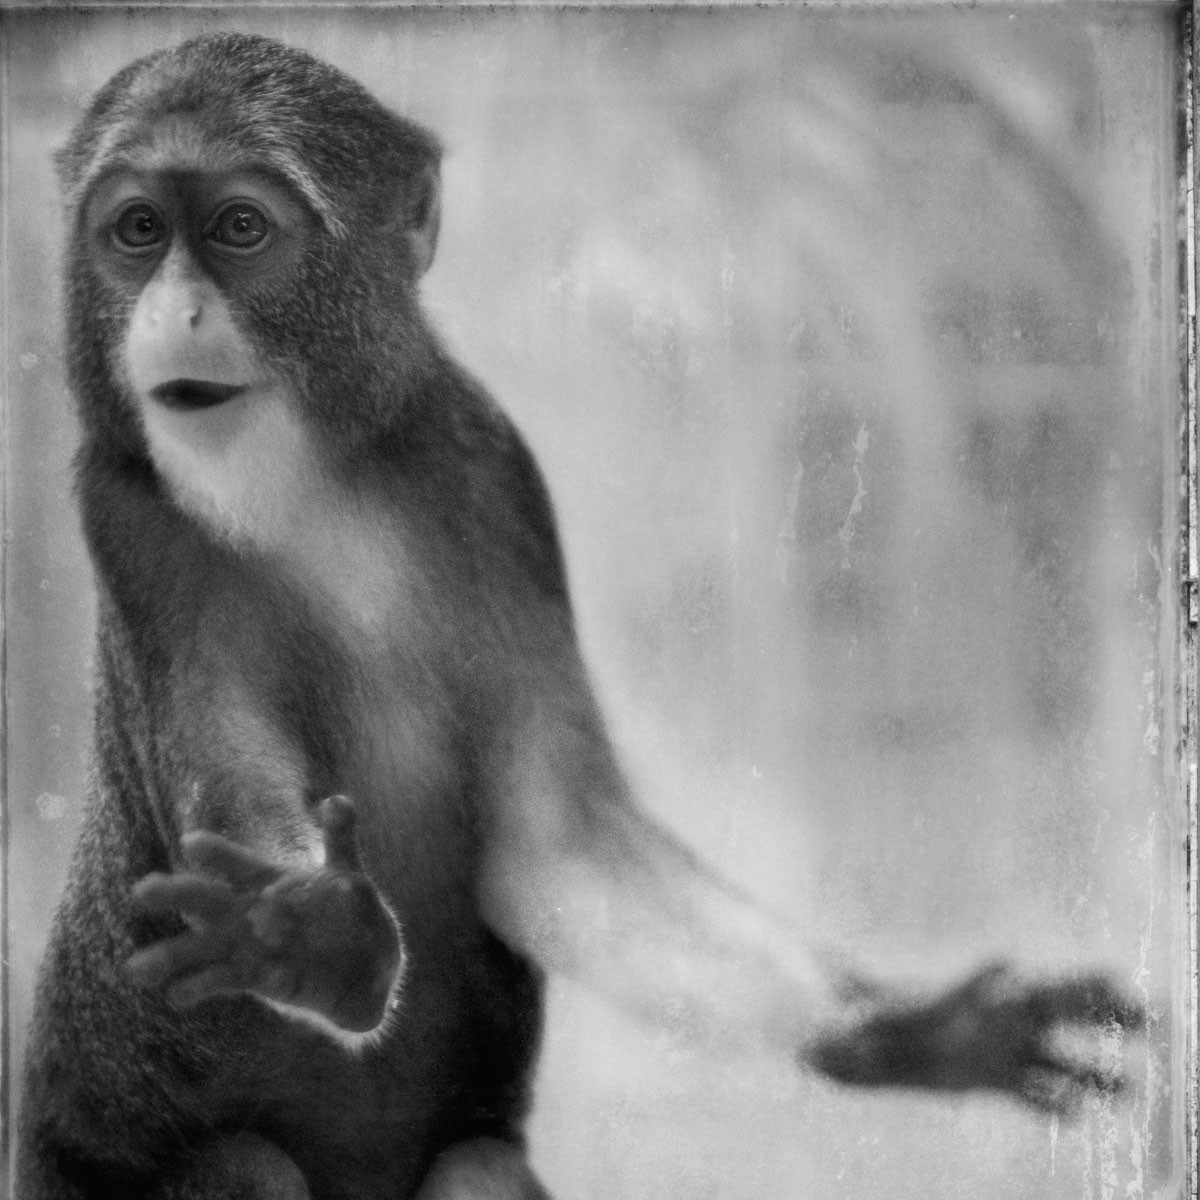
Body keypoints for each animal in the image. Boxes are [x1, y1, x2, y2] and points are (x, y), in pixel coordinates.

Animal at [16, 31, 1142, 1200]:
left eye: (240, 228)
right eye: (138, 231)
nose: (178, 311)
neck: (313, 490)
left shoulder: (489, 469)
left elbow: (552, 843)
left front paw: (918, 1029)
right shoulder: (130, 515)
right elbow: (234, 788)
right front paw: (314, 942)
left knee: (477, 1171)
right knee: (244, 1165)